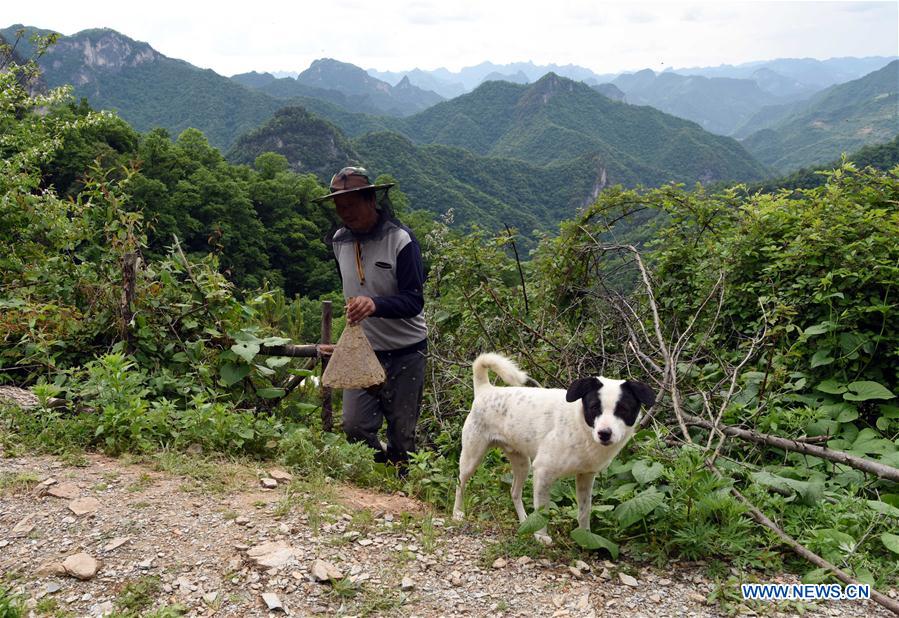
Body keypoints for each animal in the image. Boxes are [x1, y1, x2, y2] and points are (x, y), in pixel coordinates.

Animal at [454, 354, 656, 540]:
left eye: (623, 409)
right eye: (594, 407)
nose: (604, 433)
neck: (580, 427)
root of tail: (486, 389)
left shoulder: (586, 476)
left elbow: (584, 510)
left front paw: (585, 536)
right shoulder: (543, 472)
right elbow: (542, 510)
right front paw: (541, 536)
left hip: (523, 464)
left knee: (514, 492)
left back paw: (524, 521)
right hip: (472, 457)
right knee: (460, 483)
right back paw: (457, 513)